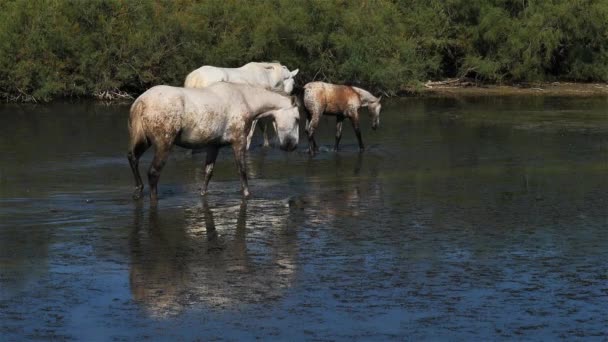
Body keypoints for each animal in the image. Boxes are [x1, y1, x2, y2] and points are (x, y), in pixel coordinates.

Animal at [127, 82, 300, 200]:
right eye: (298, 119)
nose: (293, 145)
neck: (244, 99)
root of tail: (141, 102)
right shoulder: (239, 142)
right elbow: (242, 170)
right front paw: (246, 194)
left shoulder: (213, 146)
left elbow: (208, 172)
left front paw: (203, 193)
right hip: (164, 144)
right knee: (153, 172)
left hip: (144, 141)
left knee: (132, 158)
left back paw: (138, 189)